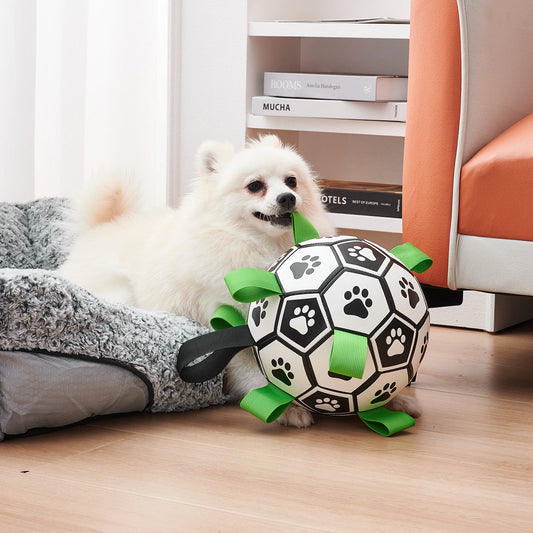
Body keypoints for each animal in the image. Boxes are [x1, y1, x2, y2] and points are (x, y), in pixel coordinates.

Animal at [60, 135, 420, 426]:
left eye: (291, 181)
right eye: (255, 186)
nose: (287, 198)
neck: (258, 247)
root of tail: (98, 229)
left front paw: (395, 399)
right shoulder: (225, 319)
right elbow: (251, 369)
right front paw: (284, 407)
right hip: (120, 292)